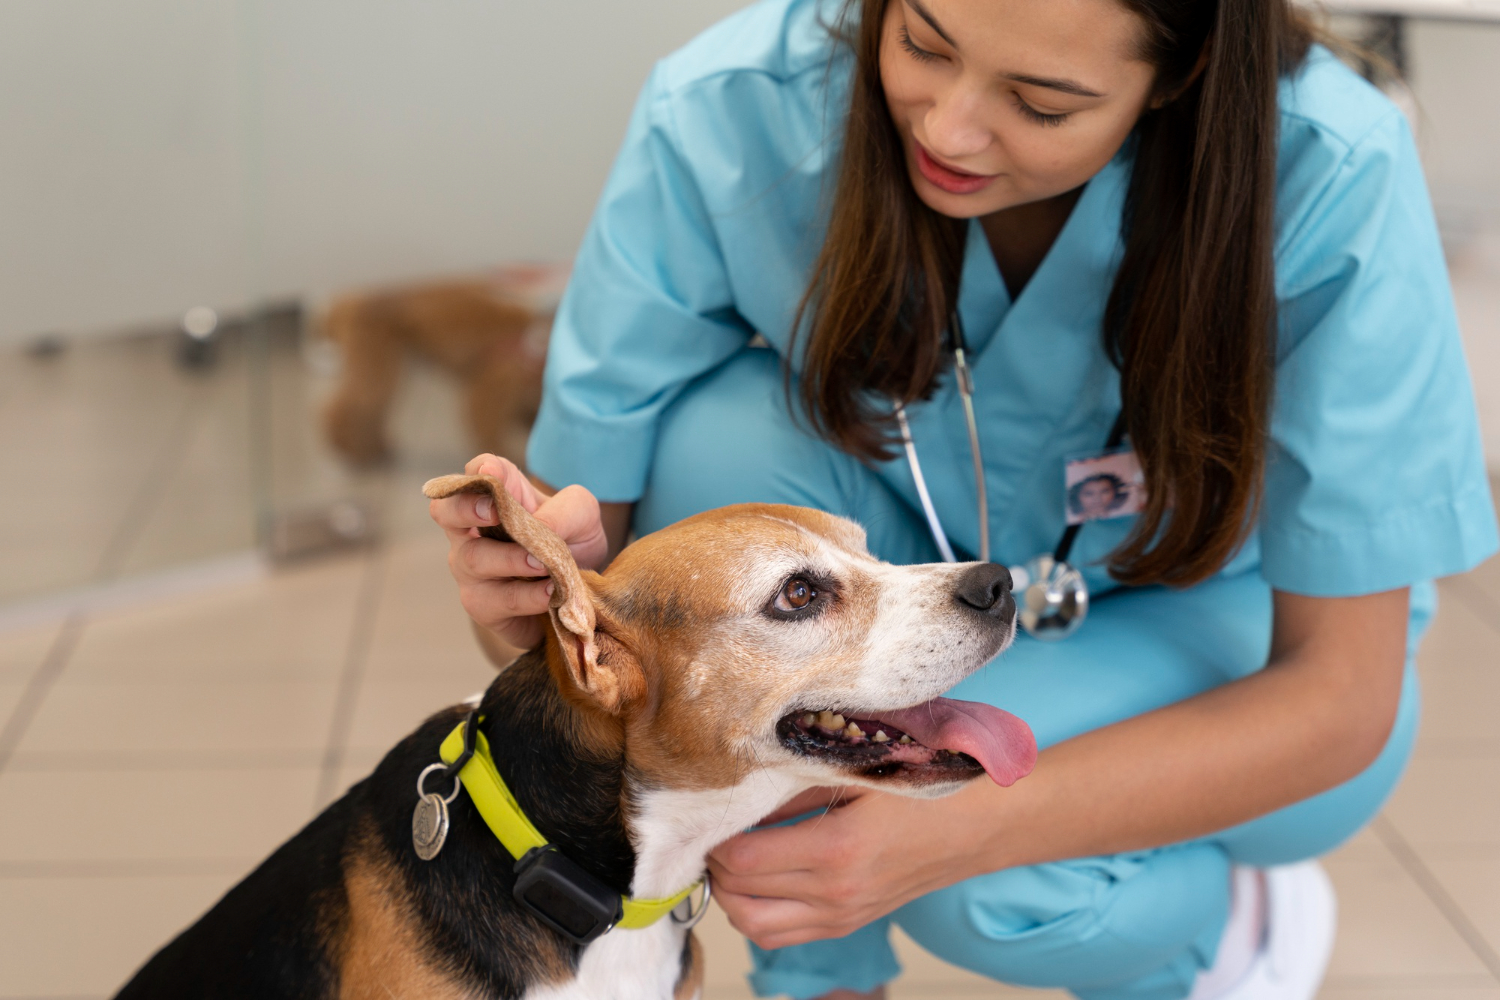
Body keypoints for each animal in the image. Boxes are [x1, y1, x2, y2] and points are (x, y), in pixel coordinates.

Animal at [322, 265, 567, 470]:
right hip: (376, 359)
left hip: (394, 362)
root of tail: (348, 305)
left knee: (370, 411)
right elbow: (488, 428)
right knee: (344, 408)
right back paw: (352, 451)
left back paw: (375, 447)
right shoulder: (495, 384)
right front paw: (507, 457)